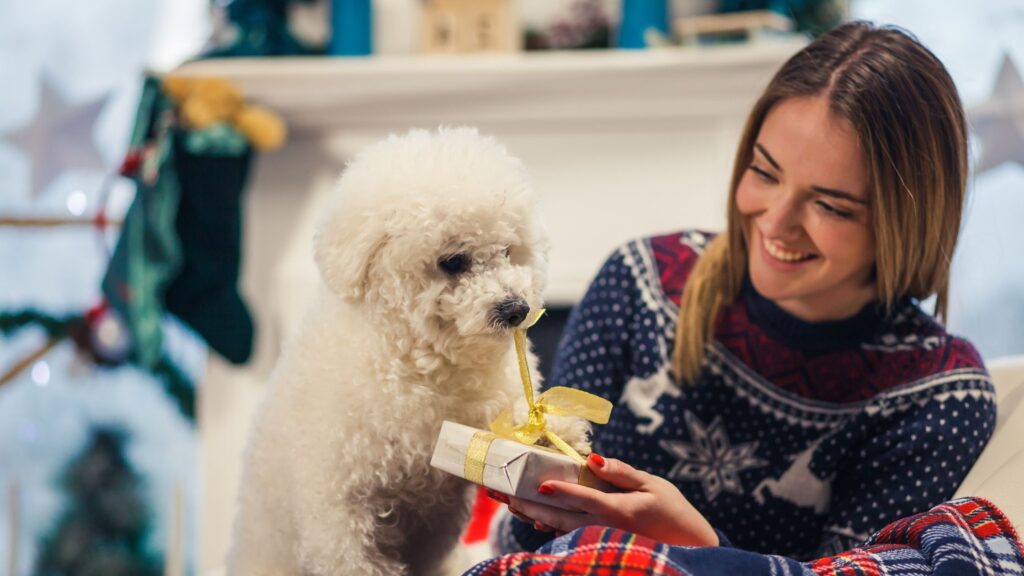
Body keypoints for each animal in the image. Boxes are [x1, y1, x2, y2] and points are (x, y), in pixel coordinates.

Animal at [228, 127, 589, 569]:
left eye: (508, 251)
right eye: (453, 261)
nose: (517, 309)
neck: (427, 364)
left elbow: (513, 412)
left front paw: (552, 433)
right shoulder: (339, 511)